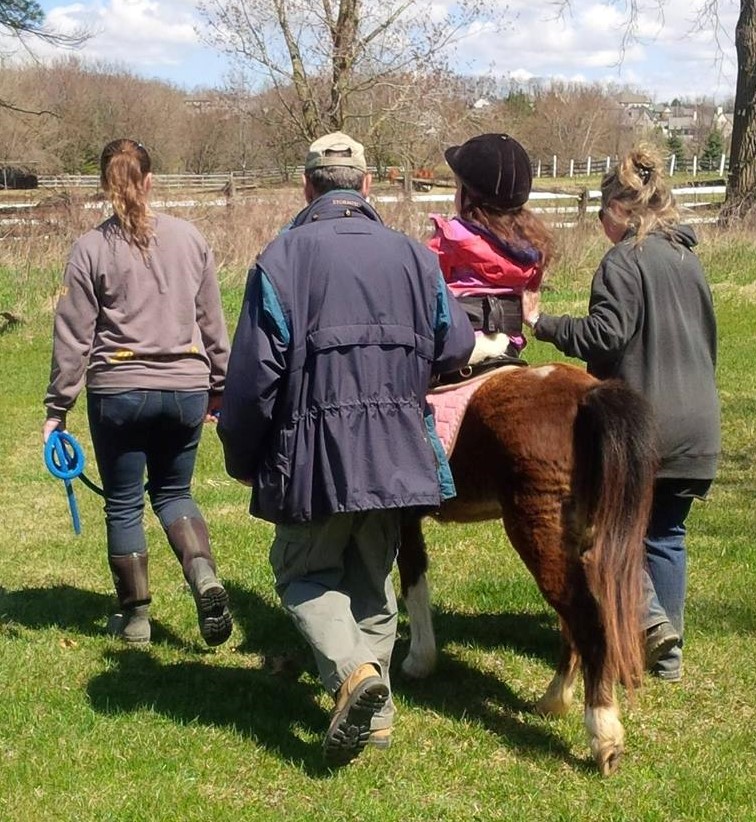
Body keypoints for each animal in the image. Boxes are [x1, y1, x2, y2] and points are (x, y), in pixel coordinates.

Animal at [396, 366, 656, 780]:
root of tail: (587, 395)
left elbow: (410, 586)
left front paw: (418, 662)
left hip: (537, 534)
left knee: (588, 623)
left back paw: (604, 735)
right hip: (575, 542)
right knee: (573, 624)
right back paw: (553, 700)